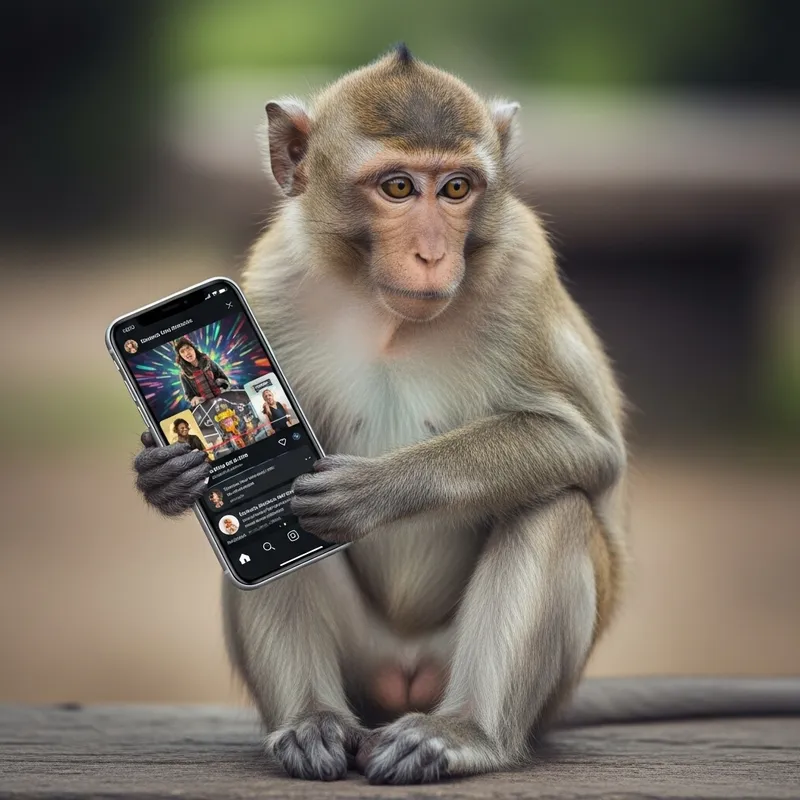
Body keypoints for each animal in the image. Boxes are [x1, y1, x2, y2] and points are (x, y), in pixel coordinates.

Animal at [131, 46, 800, 784]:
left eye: (456, 189)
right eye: (398, 188)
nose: (431, 254)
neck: (385, 312)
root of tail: (405, 681)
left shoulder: (522, 269)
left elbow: (587, 448)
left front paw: (376, 489)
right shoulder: (270, 284)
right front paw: (165, 471)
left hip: (523, 679)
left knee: (553, 505)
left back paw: (462, 733)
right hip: (363, 663)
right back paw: (312, 721)